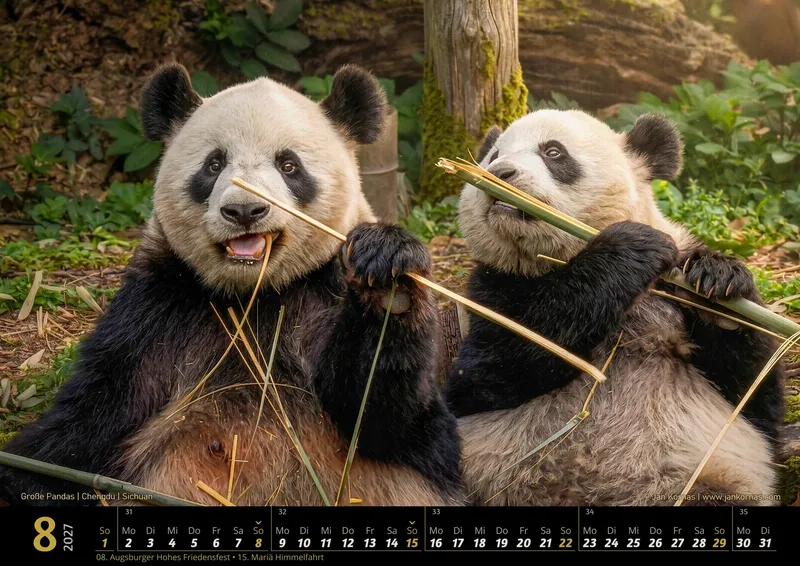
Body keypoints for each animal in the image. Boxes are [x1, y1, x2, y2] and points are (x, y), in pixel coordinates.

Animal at [0, 63, 462, 507]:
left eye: (289, 165)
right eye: (214, 164)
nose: (244, 211)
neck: (255, 294)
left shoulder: (322, 293)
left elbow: (387, 421)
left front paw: (388, 276)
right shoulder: (159, 309)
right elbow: (88, 419)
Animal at [444, 109, 785, 506]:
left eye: (553, 152)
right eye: (494, 155)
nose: (499, 173)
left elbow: (752, 394)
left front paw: (718, 280)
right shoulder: (489, 289)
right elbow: (490, 367)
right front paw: (630, 246)